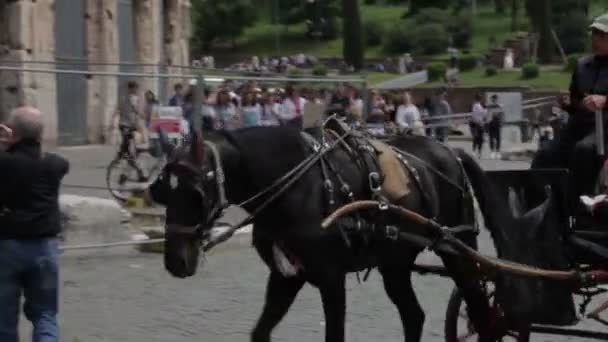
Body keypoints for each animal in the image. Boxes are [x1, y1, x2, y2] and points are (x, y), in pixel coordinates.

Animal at [150, 125, 502, 342]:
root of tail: (451, 151)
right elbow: (260, 332)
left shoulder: (331, 278)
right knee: (414, 315)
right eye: (161, 192)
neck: (294, 188)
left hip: (457, 247)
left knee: (480, 308)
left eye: (196, 194)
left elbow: (334, 335)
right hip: (394, 263)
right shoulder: (286, 276)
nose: (175, 261)